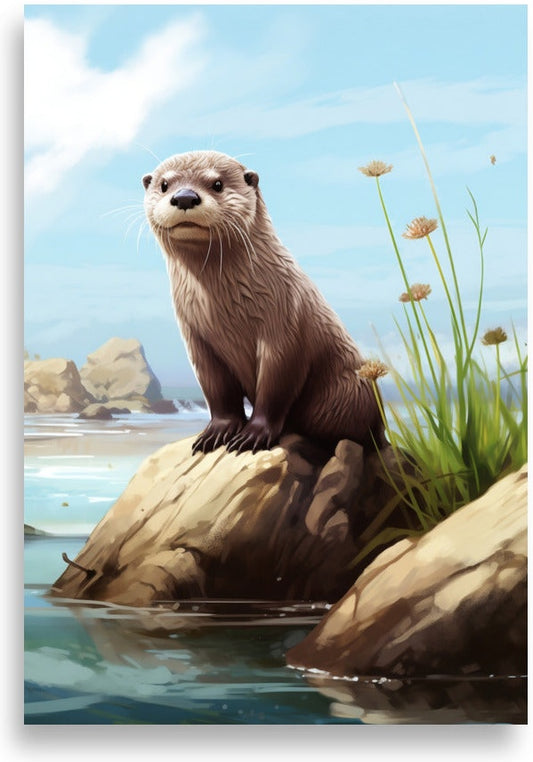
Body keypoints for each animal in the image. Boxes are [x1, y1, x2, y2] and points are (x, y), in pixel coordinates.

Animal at [142, 150, 387, 454]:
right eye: (164, 185)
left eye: (217, 184)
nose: (185, 197)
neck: (224, 307)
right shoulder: (196, 337)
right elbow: (217, 390)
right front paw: (217, 431)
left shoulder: (286, 321)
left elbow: (275, 388)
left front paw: (254, 434)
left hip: (349, 393)